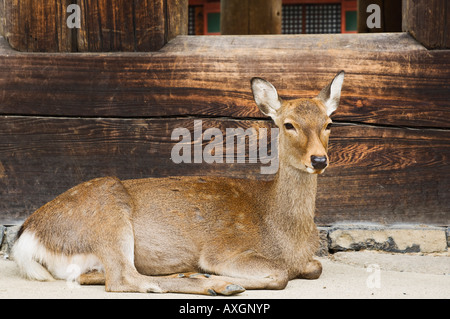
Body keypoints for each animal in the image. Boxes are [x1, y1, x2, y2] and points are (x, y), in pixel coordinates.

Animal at [13, 71, 344, 296]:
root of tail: (27, 238)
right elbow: (280, 275)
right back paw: (215, 284)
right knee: (122, 278)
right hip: (107, 216)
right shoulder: (223, 248)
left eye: (329, 123)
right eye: (288, 124)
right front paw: (216, 277)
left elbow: (315, 266)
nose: (319, 160)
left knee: (96, 276)